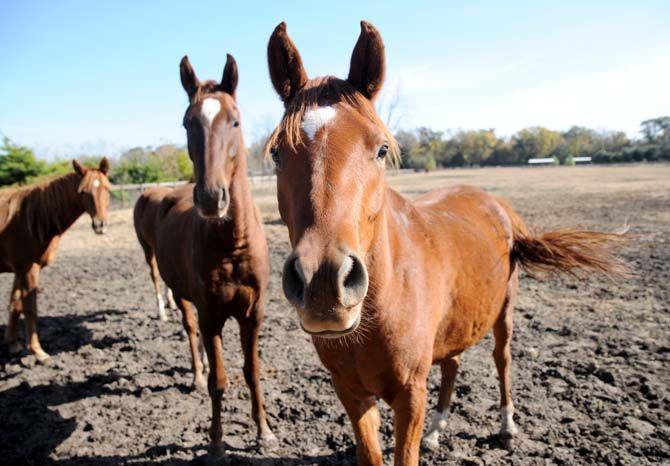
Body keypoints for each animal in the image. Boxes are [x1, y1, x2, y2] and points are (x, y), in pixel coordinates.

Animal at [0, 158, 110, 362]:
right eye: (83, 192)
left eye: (107, 189)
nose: (100, 225)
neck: (32, 218)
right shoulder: (29, 268)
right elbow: (30, 308)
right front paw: (37, 352)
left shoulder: (19, 269)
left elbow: (15, 304)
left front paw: (13, 345)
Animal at [133, 53, 276, 456]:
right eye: (187, 122)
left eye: (235, 121)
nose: (212, 198)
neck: (232, 246)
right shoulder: (212, 314)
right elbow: (220, 382)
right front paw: (215, 442)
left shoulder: (252, 314)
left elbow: (251, 372)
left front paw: (264, 432)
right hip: (180, 292)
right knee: (190, 329)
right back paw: (198, 374)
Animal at [264, 22, 632, 466]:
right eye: (277, 153)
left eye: (381, 149)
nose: (323, 282)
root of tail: (498, 206)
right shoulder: (351, 393)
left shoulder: (409, 394)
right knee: (453, 366)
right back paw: (438, 431)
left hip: (504, 314)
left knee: (502, 360)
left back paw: (507, 427)